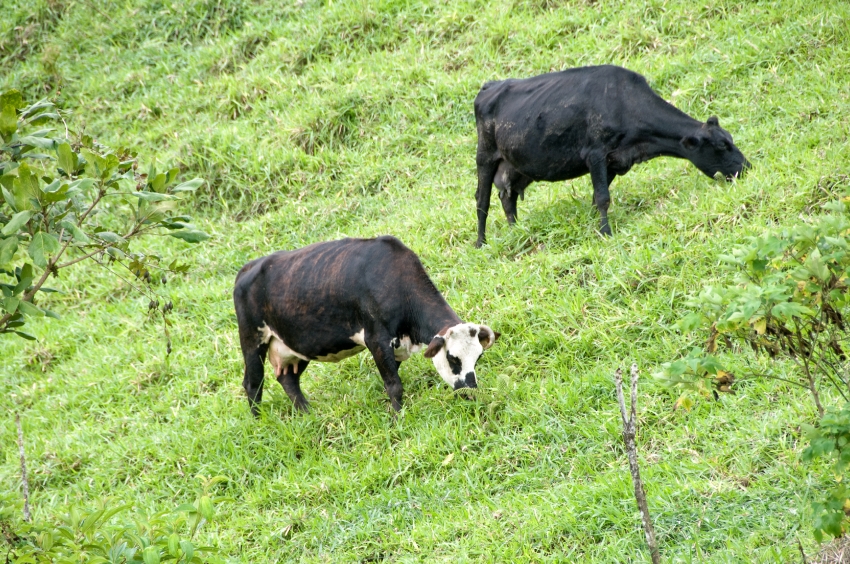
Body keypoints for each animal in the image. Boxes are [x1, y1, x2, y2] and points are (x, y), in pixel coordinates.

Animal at [232, 234, 496, 414]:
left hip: (294, 344)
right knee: (252, 383)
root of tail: (248, 267)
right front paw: (398, 419)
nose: (470, 391)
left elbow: (391, 380)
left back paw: (307, 414)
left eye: (478, 357)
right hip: (252, 338)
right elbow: (394, 385)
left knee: (288, 379)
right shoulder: (376, 338)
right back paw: (260, 423)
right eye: (452, 358)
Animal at [470, 63, 748, 245]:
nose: (746, 167)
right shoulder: (595, 153)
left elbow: (597, 199)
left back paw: (517, 231)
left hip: (516, 165)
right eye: (721, 145)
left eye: (730, 139)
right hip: (485, 154)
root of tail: (489, 85)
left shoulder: (614, 161)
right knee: (482, 200)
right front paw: (606, 233)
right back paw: (481, 242)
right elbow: (603, 197)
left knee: (508, 196)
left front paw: (595, 226)